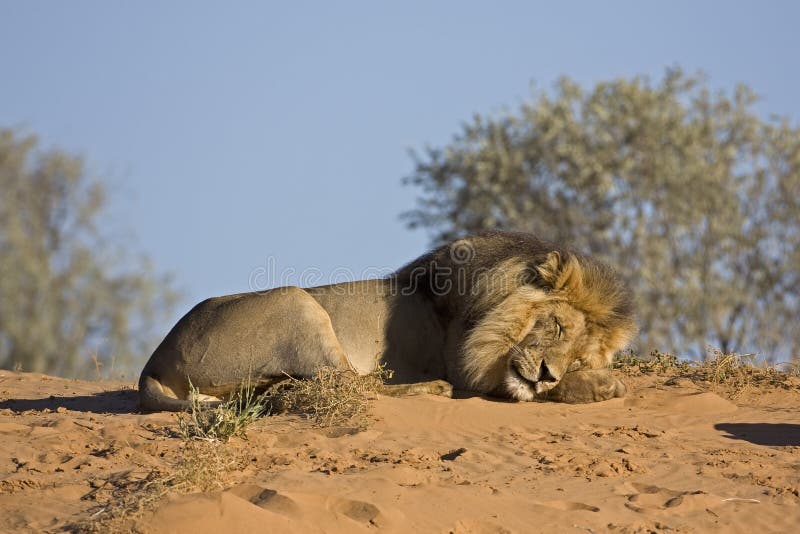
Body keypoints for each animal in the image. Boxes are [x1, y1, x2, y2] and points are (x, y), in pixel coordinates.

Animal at [139, 232, 636, 412]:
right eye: (555, 326)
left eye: (577, 358)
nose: (550, 373)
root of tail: (153, 362)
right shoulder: (468, 367)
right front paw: (602, 387)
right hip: (296, 301)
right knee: (347, 385)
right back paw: (432, 389)